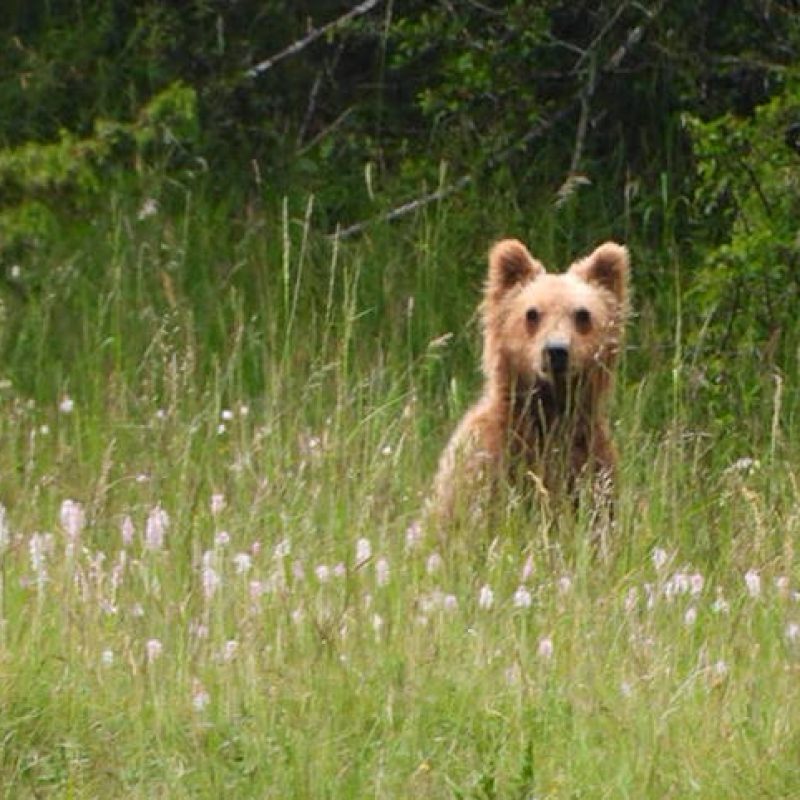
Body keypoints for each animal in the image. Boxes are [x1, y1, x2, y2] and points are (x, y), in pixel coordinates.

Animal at [432, 238, 632, 524]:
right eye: (532, 313)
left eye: (583, 314)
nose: (556, 351)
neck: (549, 411)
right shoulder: (487, 461)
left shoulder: (590, 463)